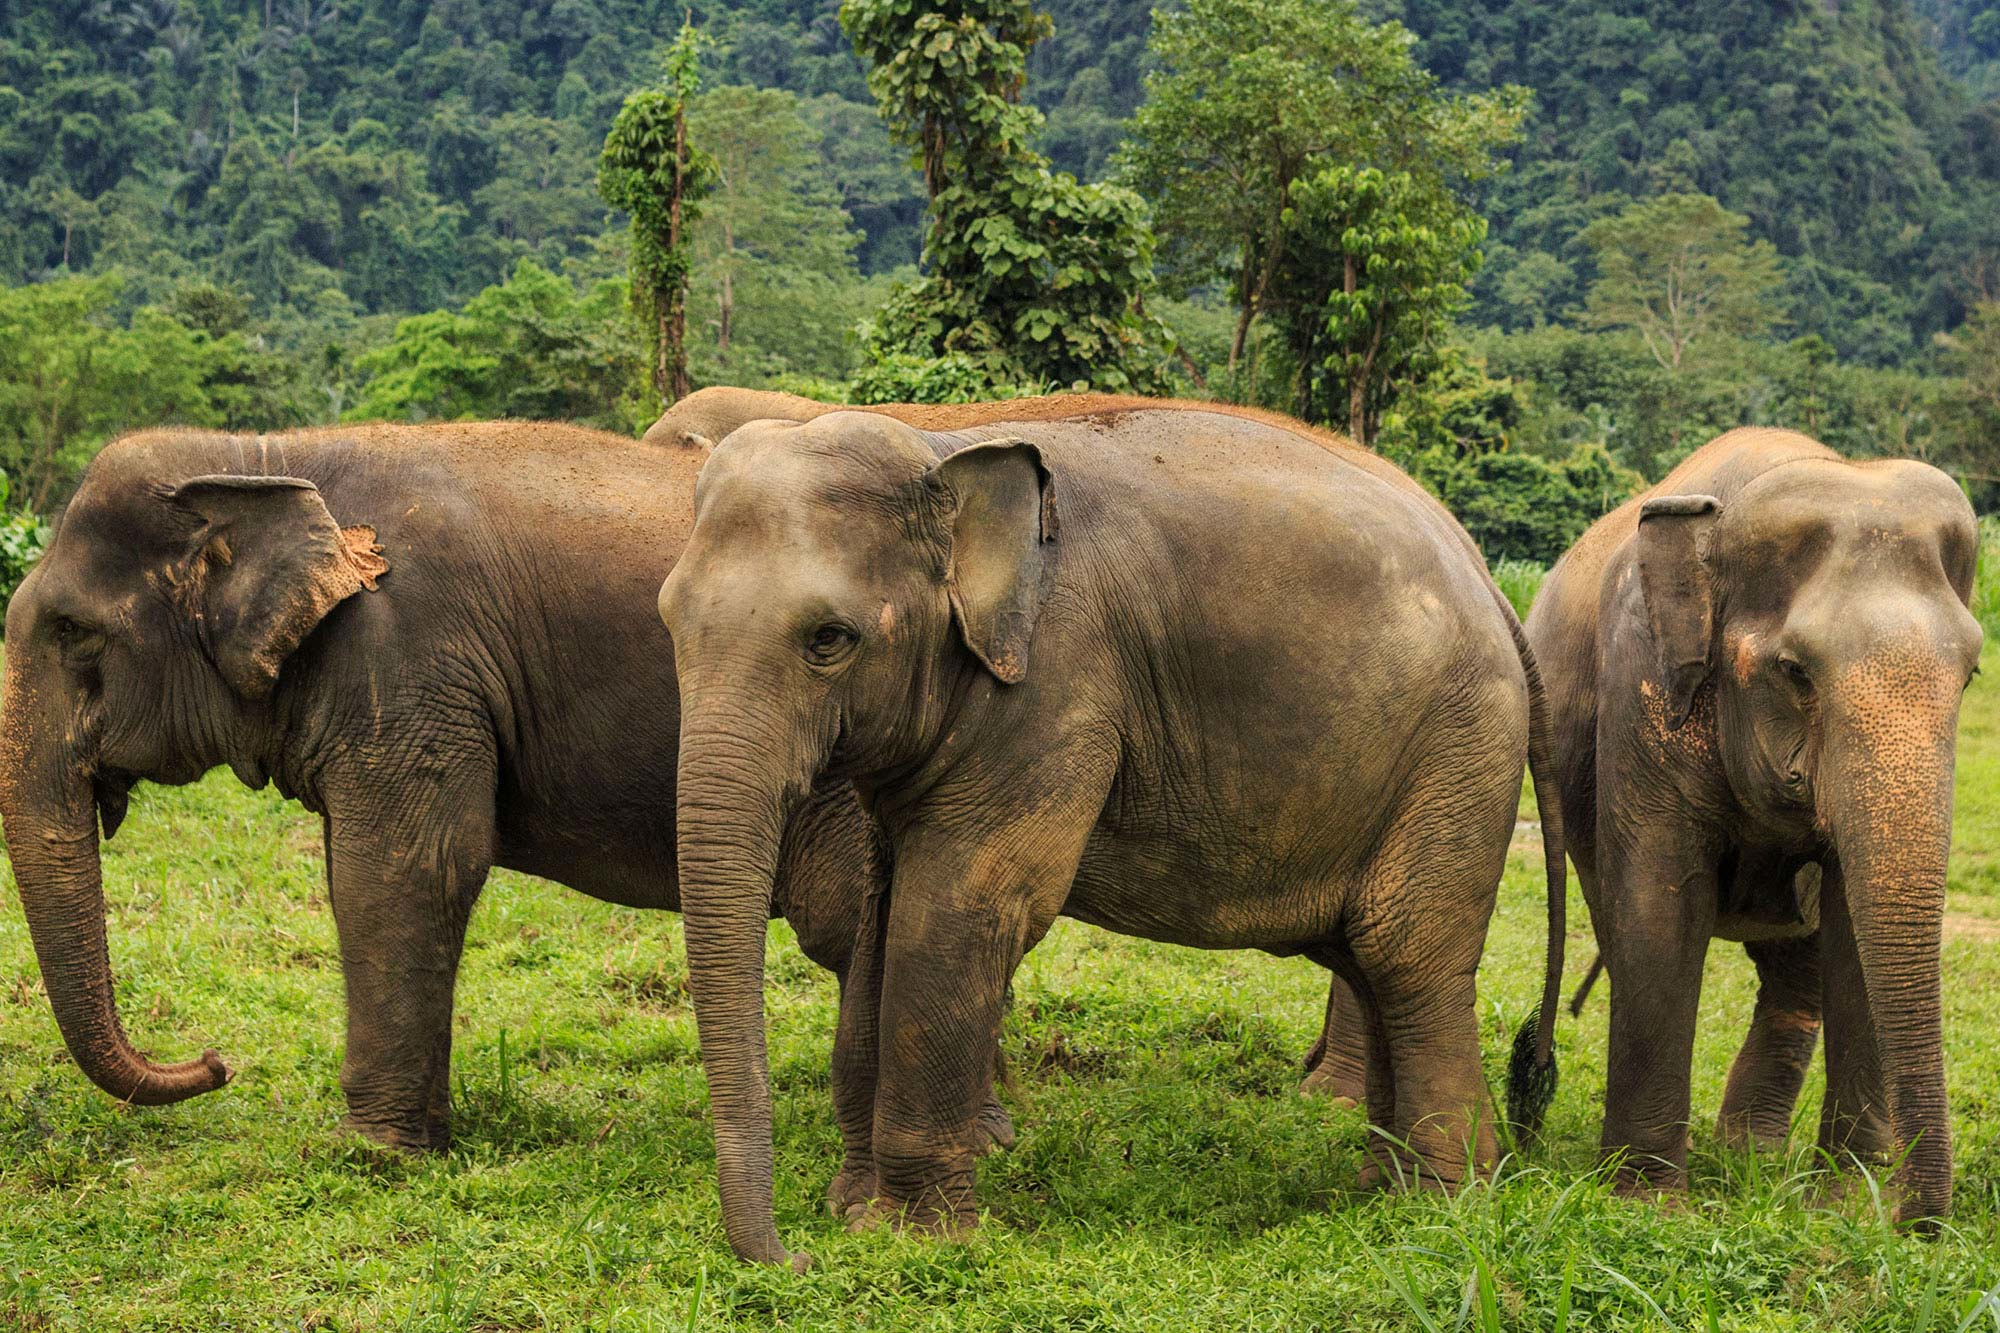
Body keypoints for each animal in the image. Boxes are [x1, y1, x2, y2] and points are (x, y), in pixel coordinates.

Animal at [0, 420, 1016, 1155]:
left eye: (73, 633)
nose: (215, 1062)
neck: (264, 456)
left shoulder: (410, 658)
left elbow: (405, 872)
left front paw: (374, 1154)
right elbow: (362, 871)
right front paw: (418, 1137)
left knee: (859, 924)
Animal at [655, 406, 1568, 1268]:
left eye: (829, 639)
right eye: (668, 619)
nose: (794, 1256)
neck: (942, 451)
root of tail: (1494, 589)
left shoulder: (1057, 688)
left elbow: (962, 909)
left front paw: (909, 1236)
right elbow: (885, 914)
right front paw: (855, 1207)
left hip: (1458, 752)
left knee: (1409, 958)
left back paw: (1442, 1205)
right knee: (1370, 960)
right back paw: (1381, 1189)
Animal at [1523, 426, 1981, 1226]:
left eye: (1972, 674)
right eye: (1796, 671)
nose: (1913, 1225)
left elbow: (1853, 927)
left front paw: (1843, 1202)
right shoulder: (1642, 685)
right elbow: (1659, 909)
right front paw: (1648, 1205)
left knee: (1795, 969)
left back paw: (1751, 1159)